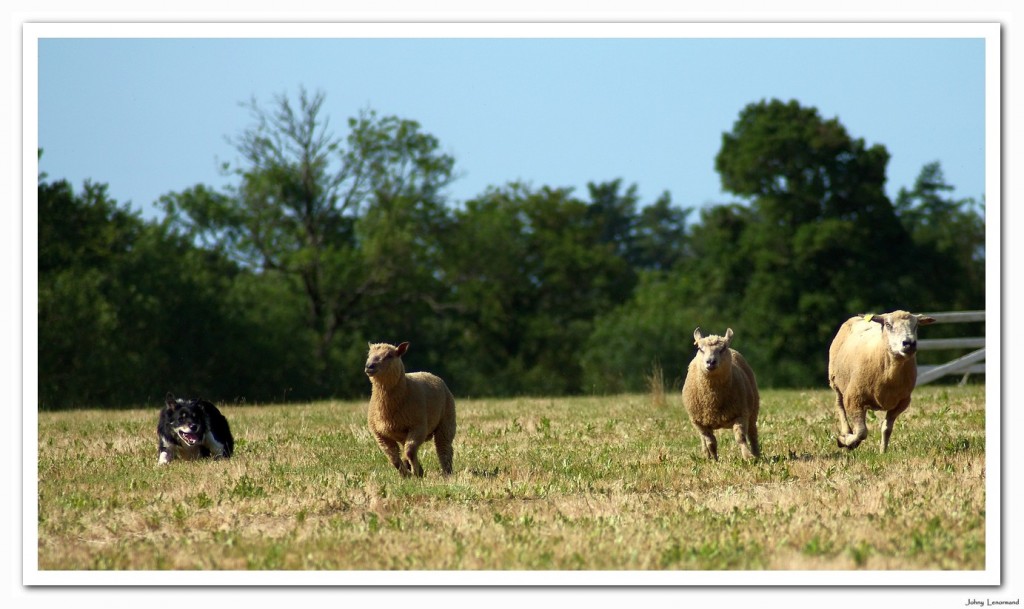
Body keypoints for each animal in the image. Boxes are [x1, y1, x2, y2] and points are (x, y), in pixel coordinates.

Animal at [362, 343, 454, 476]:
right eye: (369, 355)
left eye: (389, 355)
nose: (369, 366)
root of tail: (429, 373)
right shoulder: (379, 435)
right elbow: (394, 458)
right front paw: (407, 475)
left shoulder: (418, 426)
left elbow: (410, 451)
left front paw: (416, 473)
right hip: (403, 433)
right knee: (405, 448)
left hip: (446, 421)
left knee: (444, 448)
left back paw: (447, 473)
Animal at [679, 329, 761, 462]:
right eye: (700, 349)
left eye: (723, 348)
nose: (711, 362)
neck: (713, 399)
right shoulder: (699, 422)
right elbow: (711, 443)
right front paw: (714, 460)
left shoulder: (740, 414)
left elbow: (741, 438)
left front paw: (748, 456)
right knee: (703, 440)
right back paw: (706, 455)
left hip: (753, 409)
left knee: (753, 433)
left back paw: (756, 453)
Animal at [831, 309, 937, 452]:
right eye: (888, 325)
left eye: (916, 325)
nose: (909, 343)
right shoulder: (853, 398)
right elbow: (862, 432)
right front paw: (846, 441)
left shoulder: (902, 402)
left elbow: (886, 429)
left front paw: (883, 452)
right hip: (836, 383)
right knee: (840, 407)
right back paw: (846, 433)